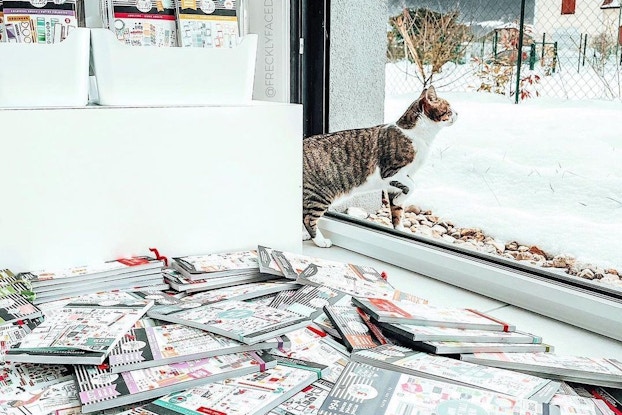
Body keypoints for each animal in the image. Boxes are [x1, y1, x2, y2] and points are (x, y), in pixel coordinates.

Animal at [304, 84, 458, 247]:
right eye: (449, 108)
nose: (457, 113)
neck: (418, 135)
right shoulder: (392, 172)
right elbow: (412, 186)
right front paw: (399, 199)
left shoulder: (394, 182)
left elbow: (397, 211)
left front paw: (400, 229)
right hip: (320, 194)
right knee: (308, 218)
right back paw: (320, 241)